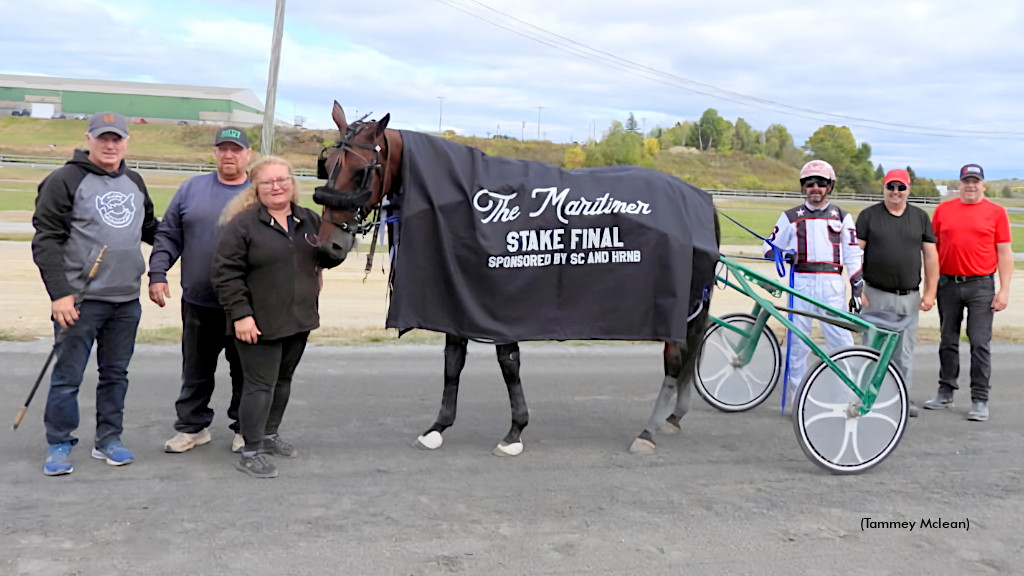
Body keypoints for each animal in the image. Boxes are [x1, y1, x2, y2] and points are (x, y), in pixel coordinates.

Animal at [311, 100, 720, 455]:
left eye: (360, 171)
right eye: (327, 164)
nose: (329, 245)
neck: (460, 201)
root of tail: (700, 199)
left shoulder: (499, 301)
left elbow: (508, 364)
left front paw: (514, 432)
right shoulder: (456, 296)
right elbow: (452, 362)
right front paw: (438, 427)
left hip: (675, 304)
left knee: (675, 360)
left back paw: (648, 431)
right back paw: (672, 417)